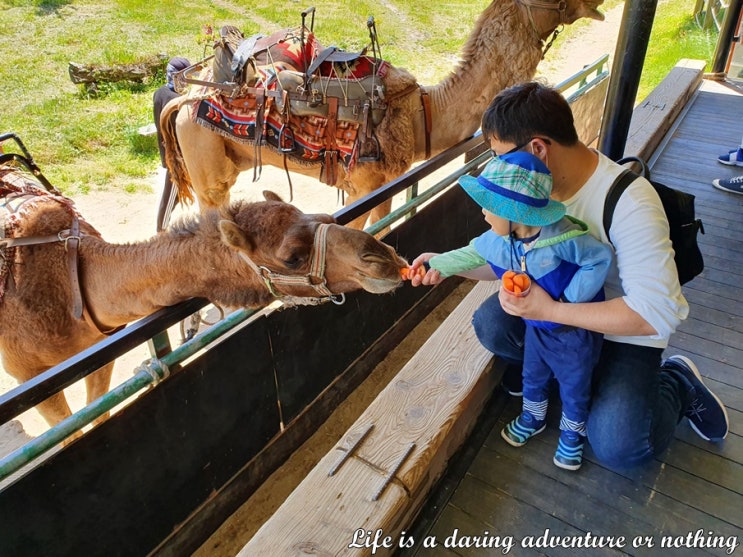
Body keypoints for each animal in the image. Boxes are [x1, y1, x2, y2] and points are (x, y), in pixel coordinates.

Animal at [0, 167, 406, 436]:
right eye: (292, 257)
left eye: (325, 216)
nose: (383, 259)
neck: (79, 287)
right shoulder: (29, 373)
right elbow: (72, 431)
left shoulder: (101, 357)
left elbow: (96, 414)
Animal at [161, 0, 604, 228]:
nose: (599, 4)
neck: (424, 113)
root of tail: (184, 98)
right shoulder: (361, 187)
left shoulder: (384, 185)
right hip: (209, 173)